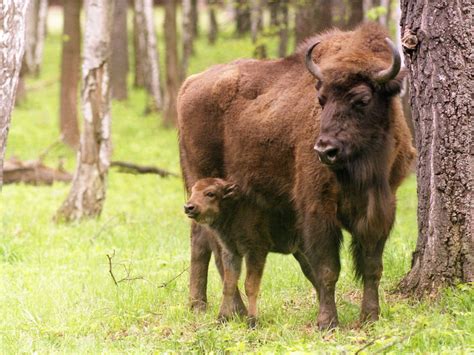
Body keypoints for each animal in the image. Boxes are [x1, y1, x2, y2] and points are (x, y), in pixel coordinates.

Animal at [184, 178, 274, 328]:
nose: (188, 207)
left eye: (210, 193)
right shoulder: (231, 252)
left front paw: (252, 322)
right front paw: (221, 319)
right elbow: (228, 285)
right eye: (193, 190)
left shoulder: (256, 252)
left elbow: (250, 286)